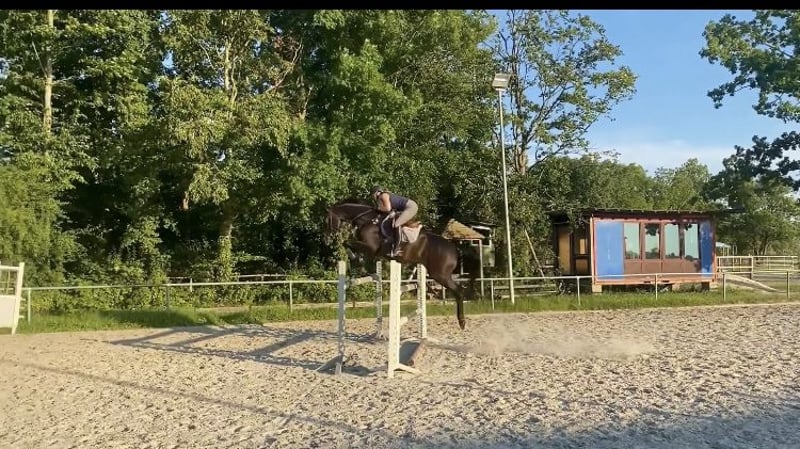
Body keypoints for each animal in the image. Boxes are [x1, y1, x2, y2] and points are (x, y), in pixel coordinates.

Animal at [325, 200, 479, 330]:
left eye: (327, 219)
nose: (328, 237)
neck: (367, 220)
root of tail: (454, 248)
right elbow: (349, 245)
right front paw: (358, 260)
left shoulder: (371, 248)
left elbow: (347, 243)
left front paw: (355, 259)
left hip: (440, 275)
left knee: (459, 291)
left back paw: (462, 321)